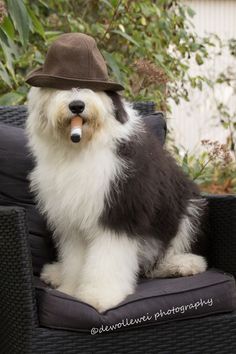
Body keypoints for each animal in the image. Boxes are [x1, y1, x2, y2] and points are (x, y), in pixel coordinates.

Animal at [26, 86, 206, 312]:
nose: (77, 106)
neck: (83, 147)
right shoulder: (73, 217)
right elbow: (75, 257)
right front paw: (71, 289)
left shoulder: (119, 212)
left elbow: (108, 257)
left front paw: (99, 296)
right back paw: (56, 273)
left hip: (187, 209)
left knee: (161, 257)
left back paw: (182, 265)